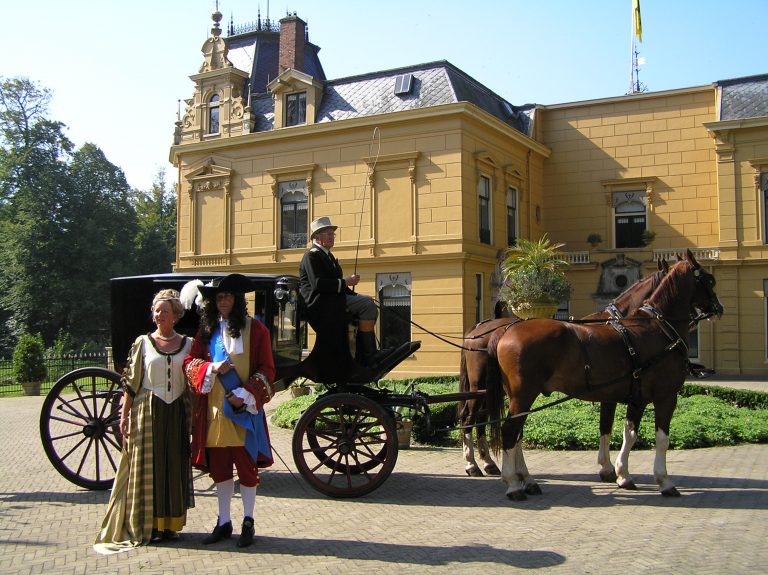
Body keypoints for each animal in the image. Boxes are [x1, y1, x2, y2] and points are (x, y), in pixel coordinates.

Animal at [460, 258, 668, 480]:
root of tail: (477, 329)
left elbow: (605, 426)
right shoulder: (610, 391)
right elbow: (607, 425)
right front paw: (608, 467)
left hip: (489, 390)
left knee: (481, 419)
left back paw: (488, 462)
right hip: (481, 387)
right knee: (469, 418)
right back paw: (472, 464)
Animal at [486, 251, 720, 500]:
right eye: (710, 280)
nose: (719, 308)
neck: (657, 328)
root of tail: (506, 330)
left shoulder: (634, 398)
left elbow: (626, 432)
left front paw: (621, 473)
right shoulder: (665, 396)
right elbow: (661, 438)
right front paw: (663, 480)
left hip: (519, 397)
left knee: (516, 433)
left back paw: (524, 479)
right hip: (524, 395)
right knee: (510, 431)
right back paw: (513, 483)